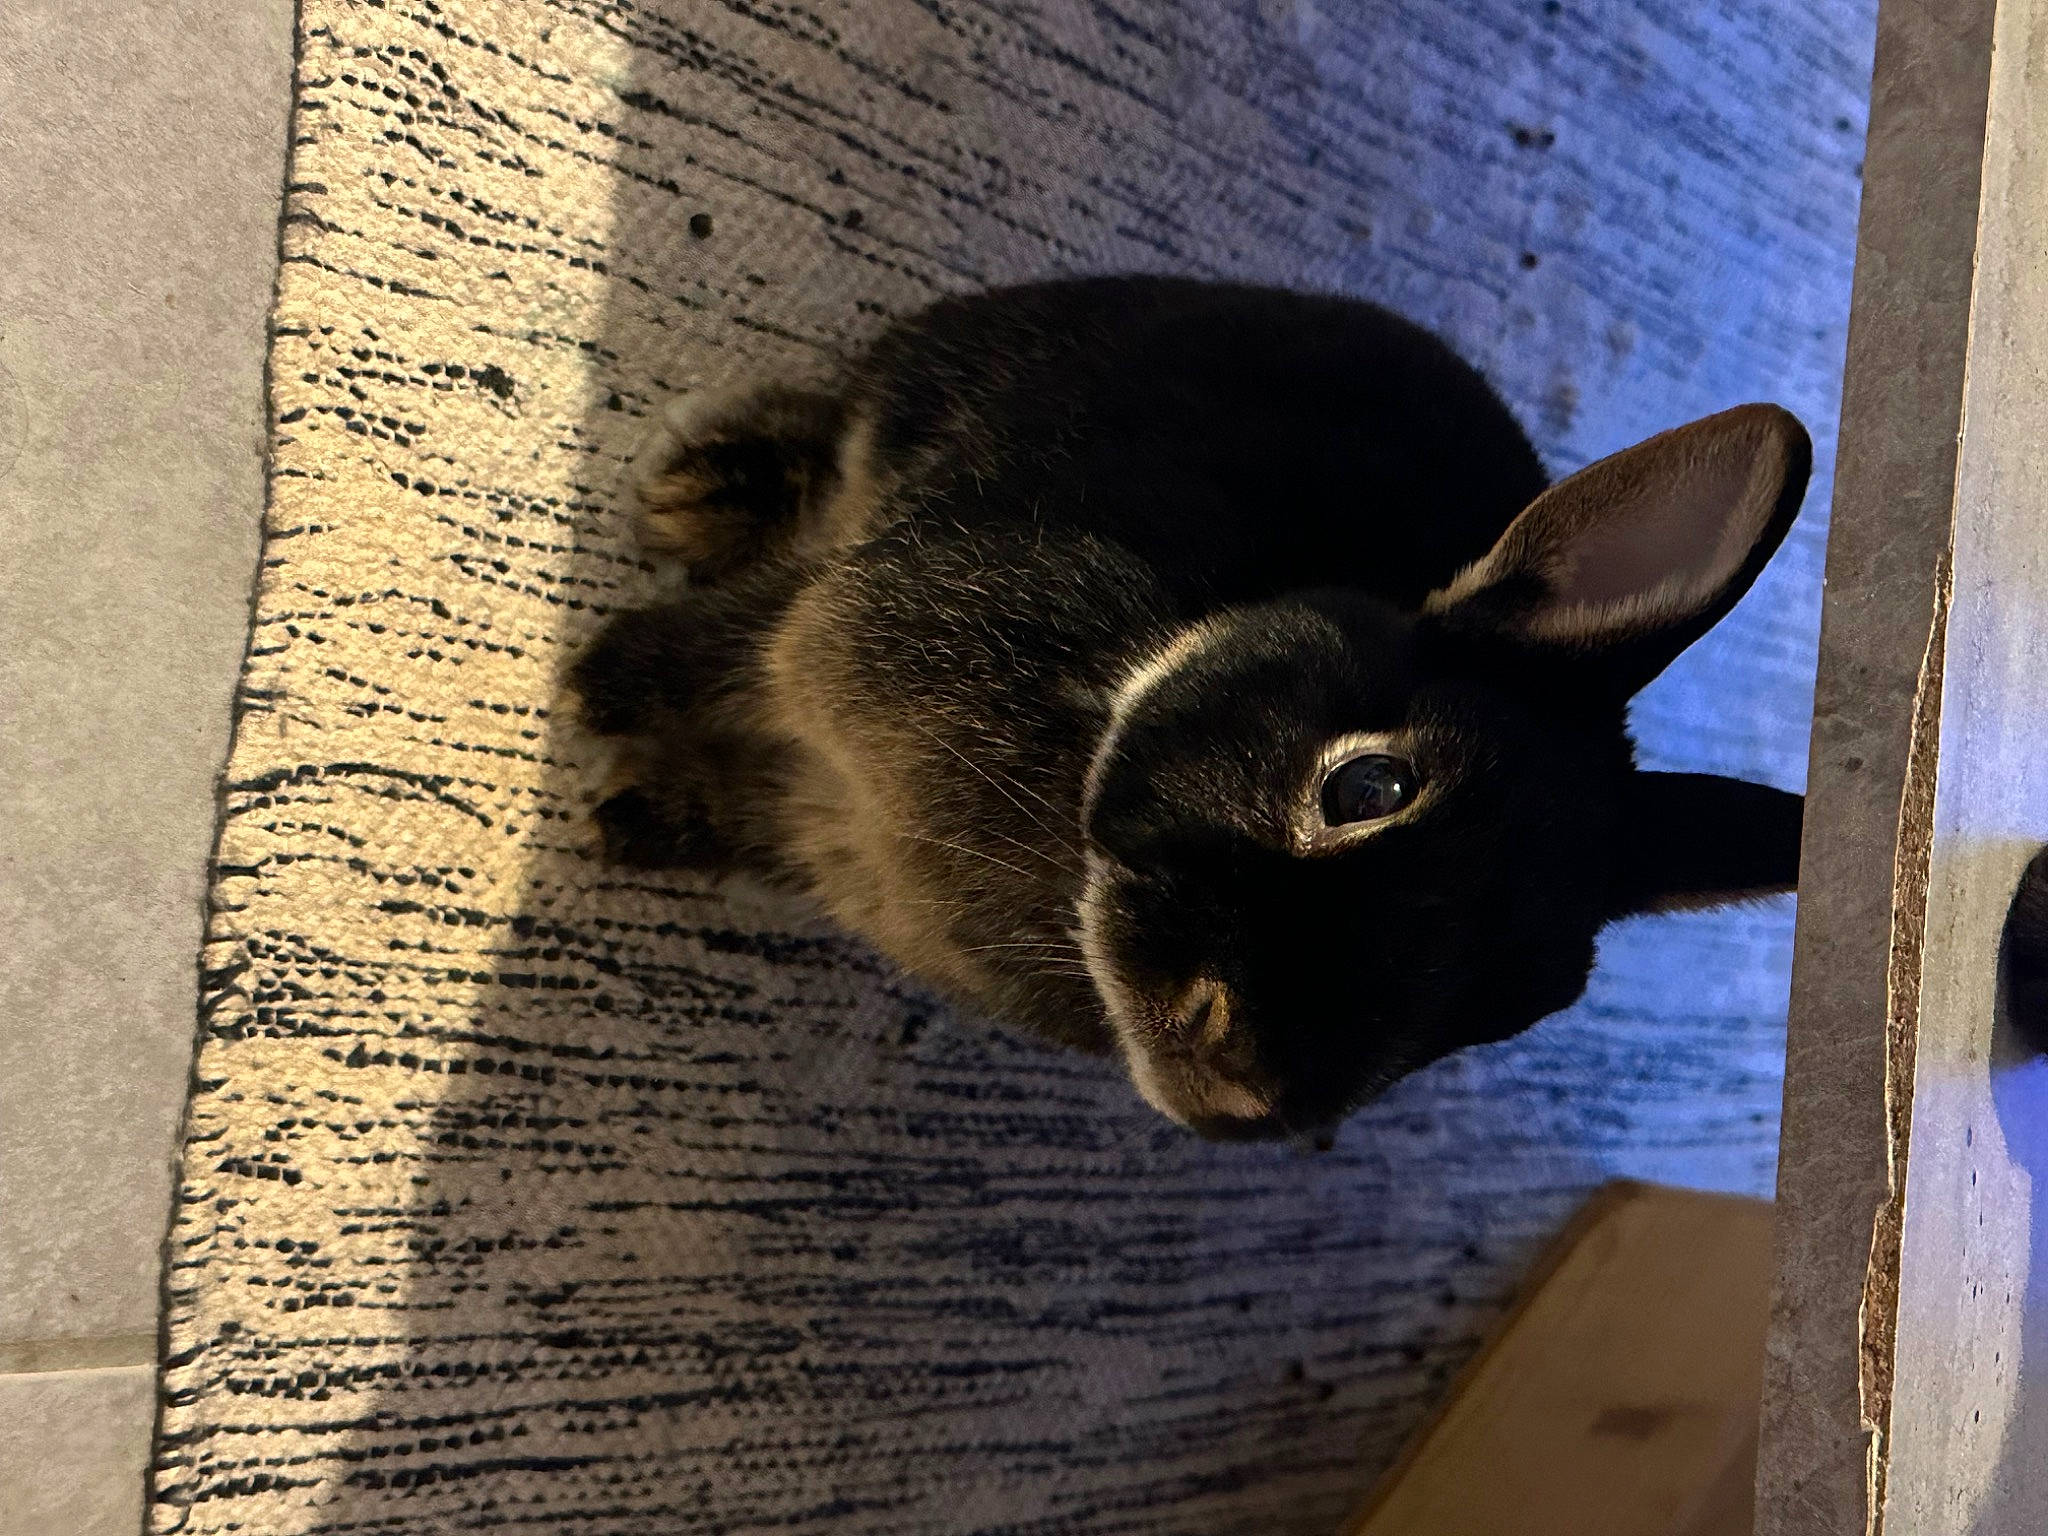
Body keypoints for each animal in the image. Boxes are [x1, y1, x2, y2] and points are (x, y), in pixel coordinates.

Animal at [571, 275, 1810, 1141]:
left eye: (1520, 1003)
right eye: (1368, 786)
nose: (1244, 1092)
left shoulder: (821, 825)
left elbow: (750, 816)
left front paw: (637, 822)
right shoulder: (818, 626)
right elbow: (720, 651)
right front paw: (593, 684)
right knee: (836, 429)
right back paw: (702, 487)